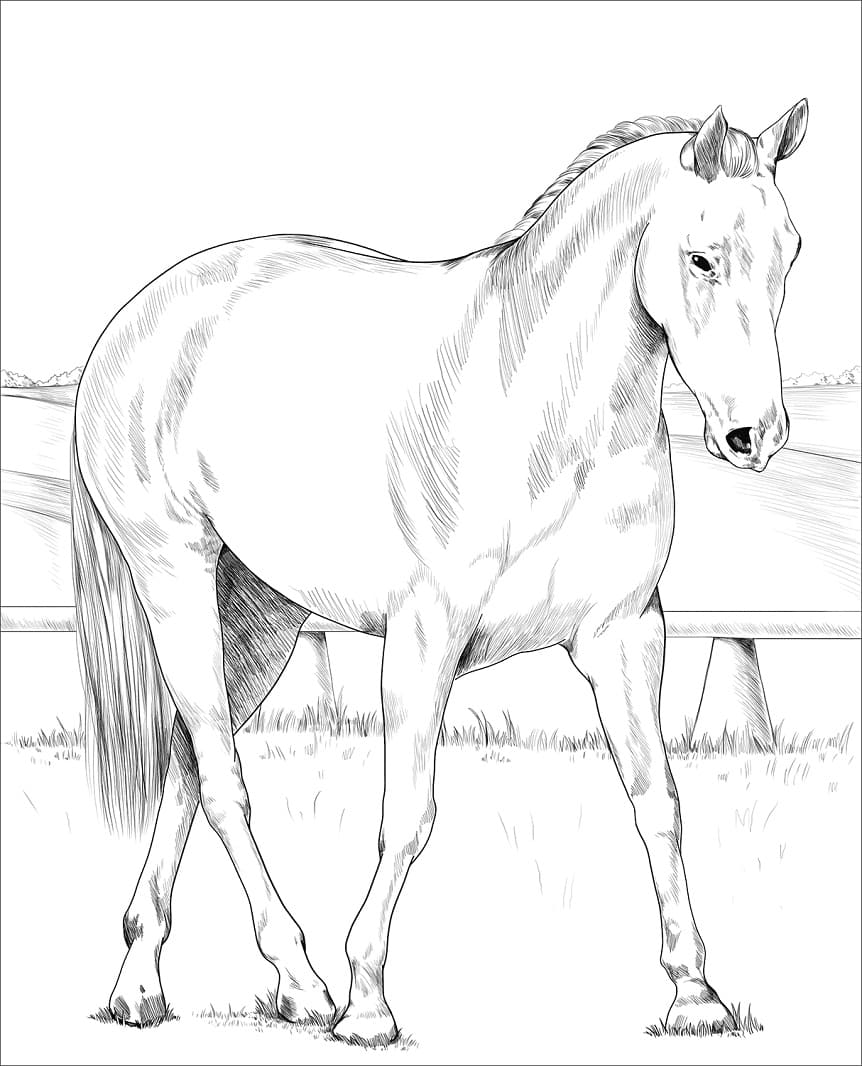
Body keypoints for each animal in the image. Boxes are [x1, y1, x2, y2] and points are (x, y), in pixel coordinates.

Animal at [71, 100, 807, 1042]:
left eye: (791, 251)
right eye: (703, 256)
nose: (754, 435)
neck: (541, 409)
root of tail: (142, 317)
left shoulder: (625, 638)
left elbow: (658, 800)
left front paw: (696, 995)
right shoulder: (425, 641)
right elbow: (407, 817)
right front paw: (367, 1003)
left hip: (262, 613)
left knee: (188, 756)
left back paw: (146, 982)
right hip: (175, 578)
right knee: (222, 777)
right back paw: (297, 980)